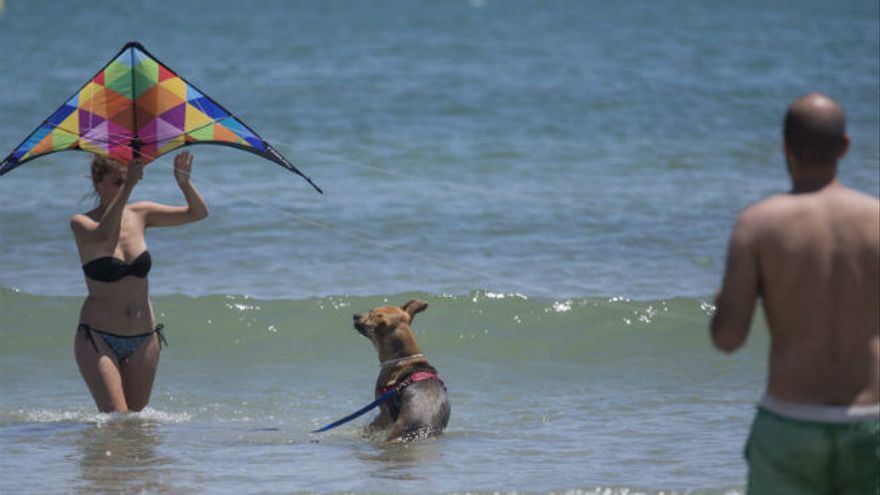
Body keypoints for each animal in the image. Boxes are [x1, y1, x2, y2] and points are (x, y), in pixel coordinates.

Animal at [354, 300, 450, 444]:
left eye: (371, 312)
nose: (355, 316)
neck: (405, 357)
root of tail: (421, 428)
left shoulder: (384, 414)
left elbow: (370, 426)